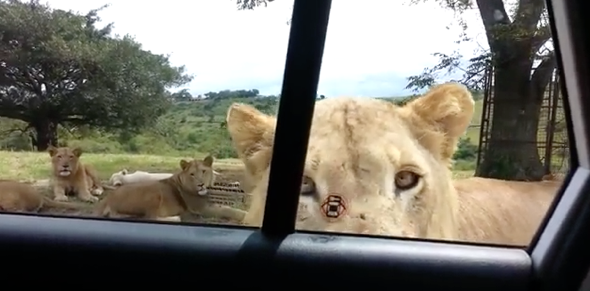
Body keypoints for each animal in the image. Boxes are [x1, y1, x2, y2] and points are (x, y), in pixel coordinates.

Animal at [95, 156, 247, 222]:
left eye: (203, 171)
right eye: (192, 174)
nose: (201, 184)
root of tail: (107, 199)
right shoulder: (201, 208)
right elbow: (228, 210)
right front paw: (245, 215)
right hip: (154, 194)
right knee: (150, 217)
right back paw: (176, 218)